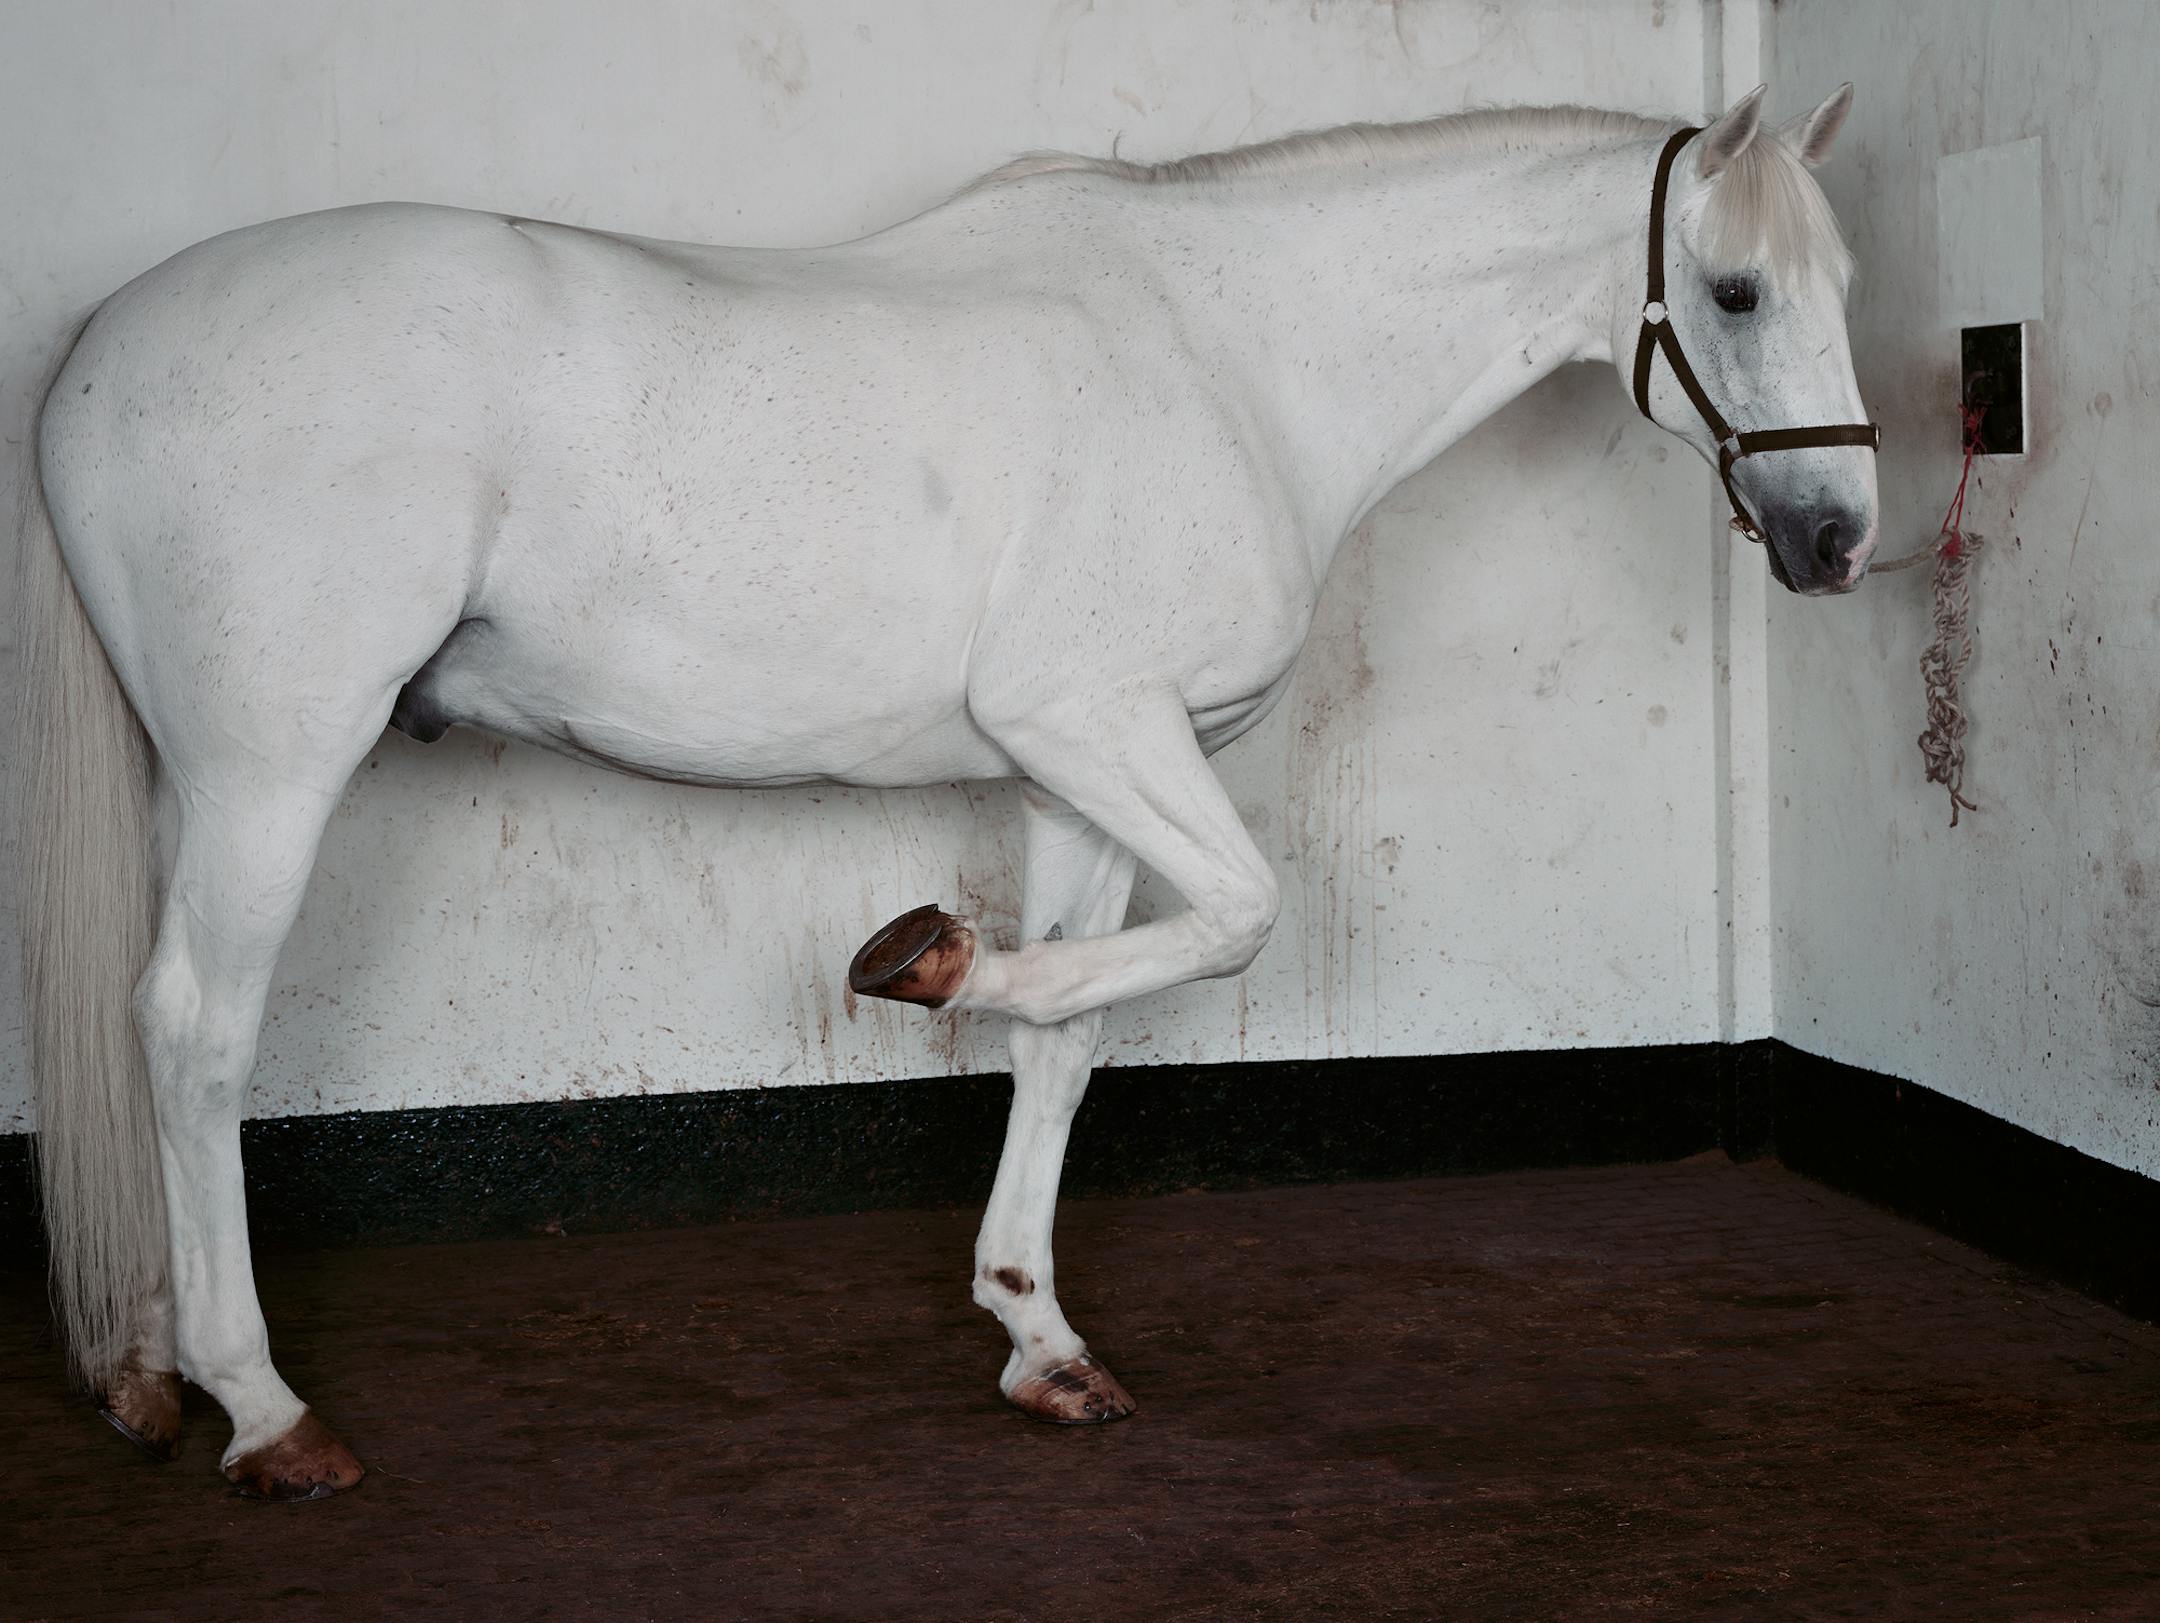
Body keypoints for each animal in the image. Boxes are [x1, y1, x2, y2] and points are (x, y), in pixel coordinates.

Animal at [17, 83, 1877, 1498]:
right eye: (1733, 292)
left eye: (1845, 278)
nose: (1839, 538)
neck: (1228, 357)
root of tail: (99, 347)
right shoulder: (1101, 724)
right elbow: (1236, 916)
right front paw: (932, 959)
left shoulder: (1073, 775)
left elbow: (1077, 1030)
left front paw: (1036, 1328)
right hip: (274, 766)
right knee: (194, 1032)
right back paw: (263, 1408)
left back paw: (152, 1370)